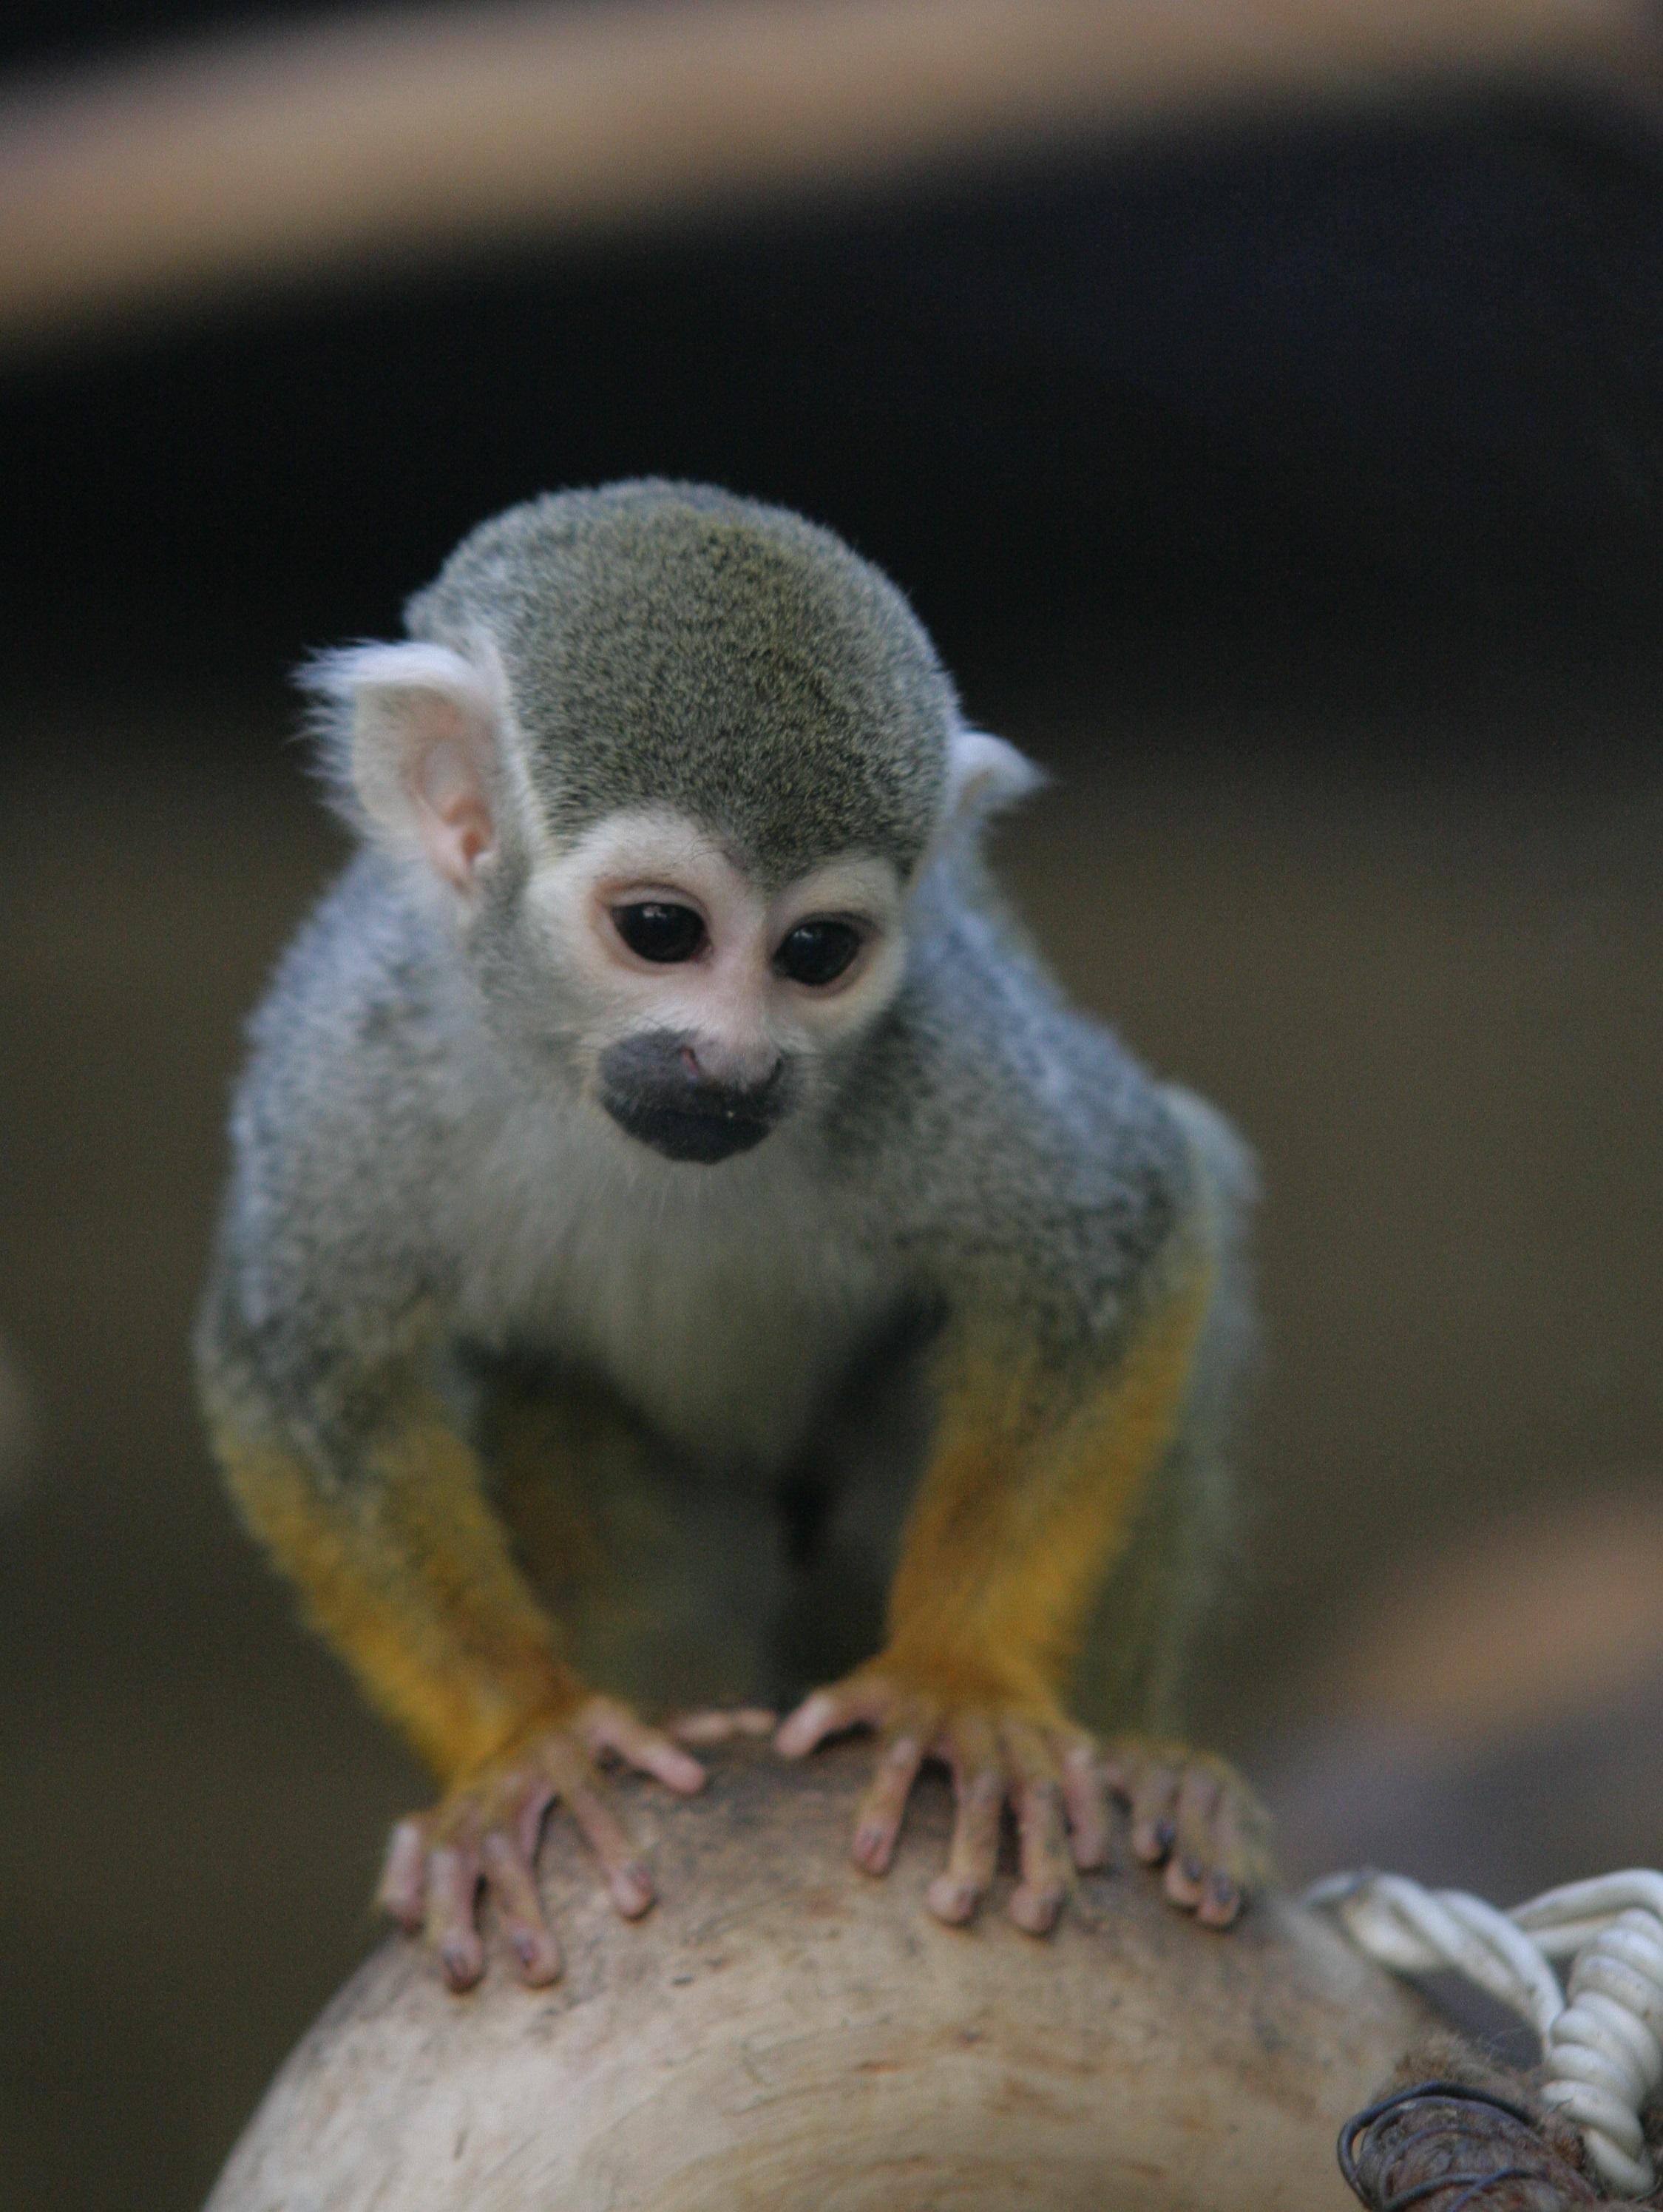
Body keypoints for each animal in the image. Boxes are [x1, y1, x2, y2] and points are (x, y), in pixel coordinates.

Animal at [194, 480, 1256, 1990]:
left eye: (817, 954)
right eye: (660, 929)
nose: (735, 1066)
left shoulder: (932, 1034)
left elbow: (1119, 1236)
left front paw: (955, 1686)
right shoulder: (352, 1041)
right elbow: (298, 1365)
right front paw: (526, 1742)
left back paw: (1154, 1774)